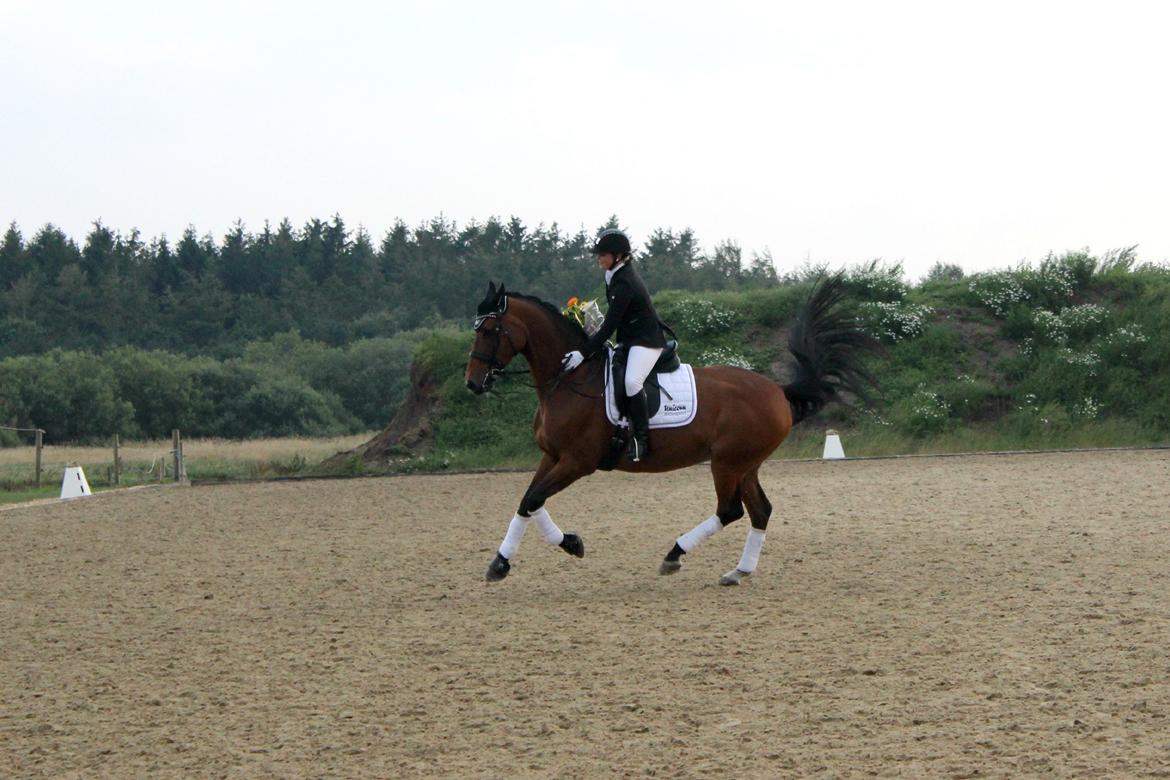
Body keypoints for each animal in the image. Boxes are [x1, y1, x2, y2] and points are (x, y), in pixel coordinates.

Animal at [460, 274, 875, 584]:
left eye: (490, 330)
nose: (473, 384)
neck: (570, 378)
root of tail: (777, 389)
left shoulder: (577, 462)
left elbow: (534, 499)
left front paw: (548, 550)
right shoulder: (552, 456)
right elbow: (529, 501)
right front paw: (526, 555)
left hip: (727, 463)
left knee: (730, 511)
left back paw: (674, 555)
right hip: (746, 464)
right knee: (760, 511)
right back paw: (738, 571)